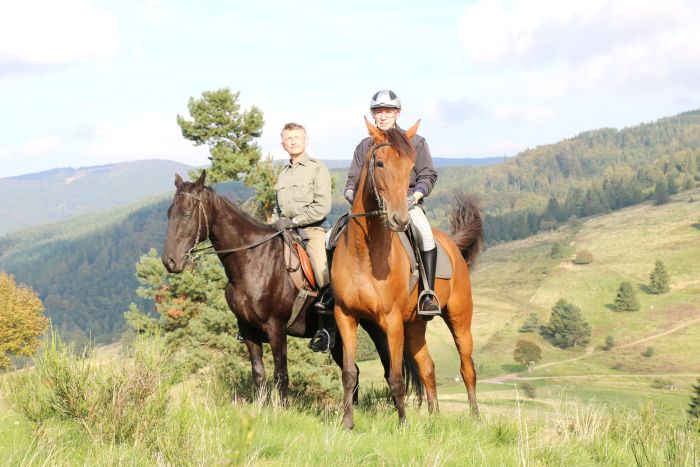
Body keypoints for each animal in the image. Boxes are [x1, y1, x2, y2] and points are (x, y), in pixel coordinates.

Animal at [332, 119, 482, 430]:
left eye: (410, 165)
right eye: (379, 162)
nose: (399, 219)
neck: (364, 255)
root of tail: (452, 244)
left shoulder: (391, 322)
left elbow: (397, 378)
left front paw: (402, 425)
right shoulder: (346, 316)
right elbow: (350, 373)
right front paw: (347, 424)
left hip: (459, 319)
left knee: (467, 367)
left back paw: (475, 418)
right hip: (415, 326)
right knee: (427, 367)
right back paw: (435, 418)